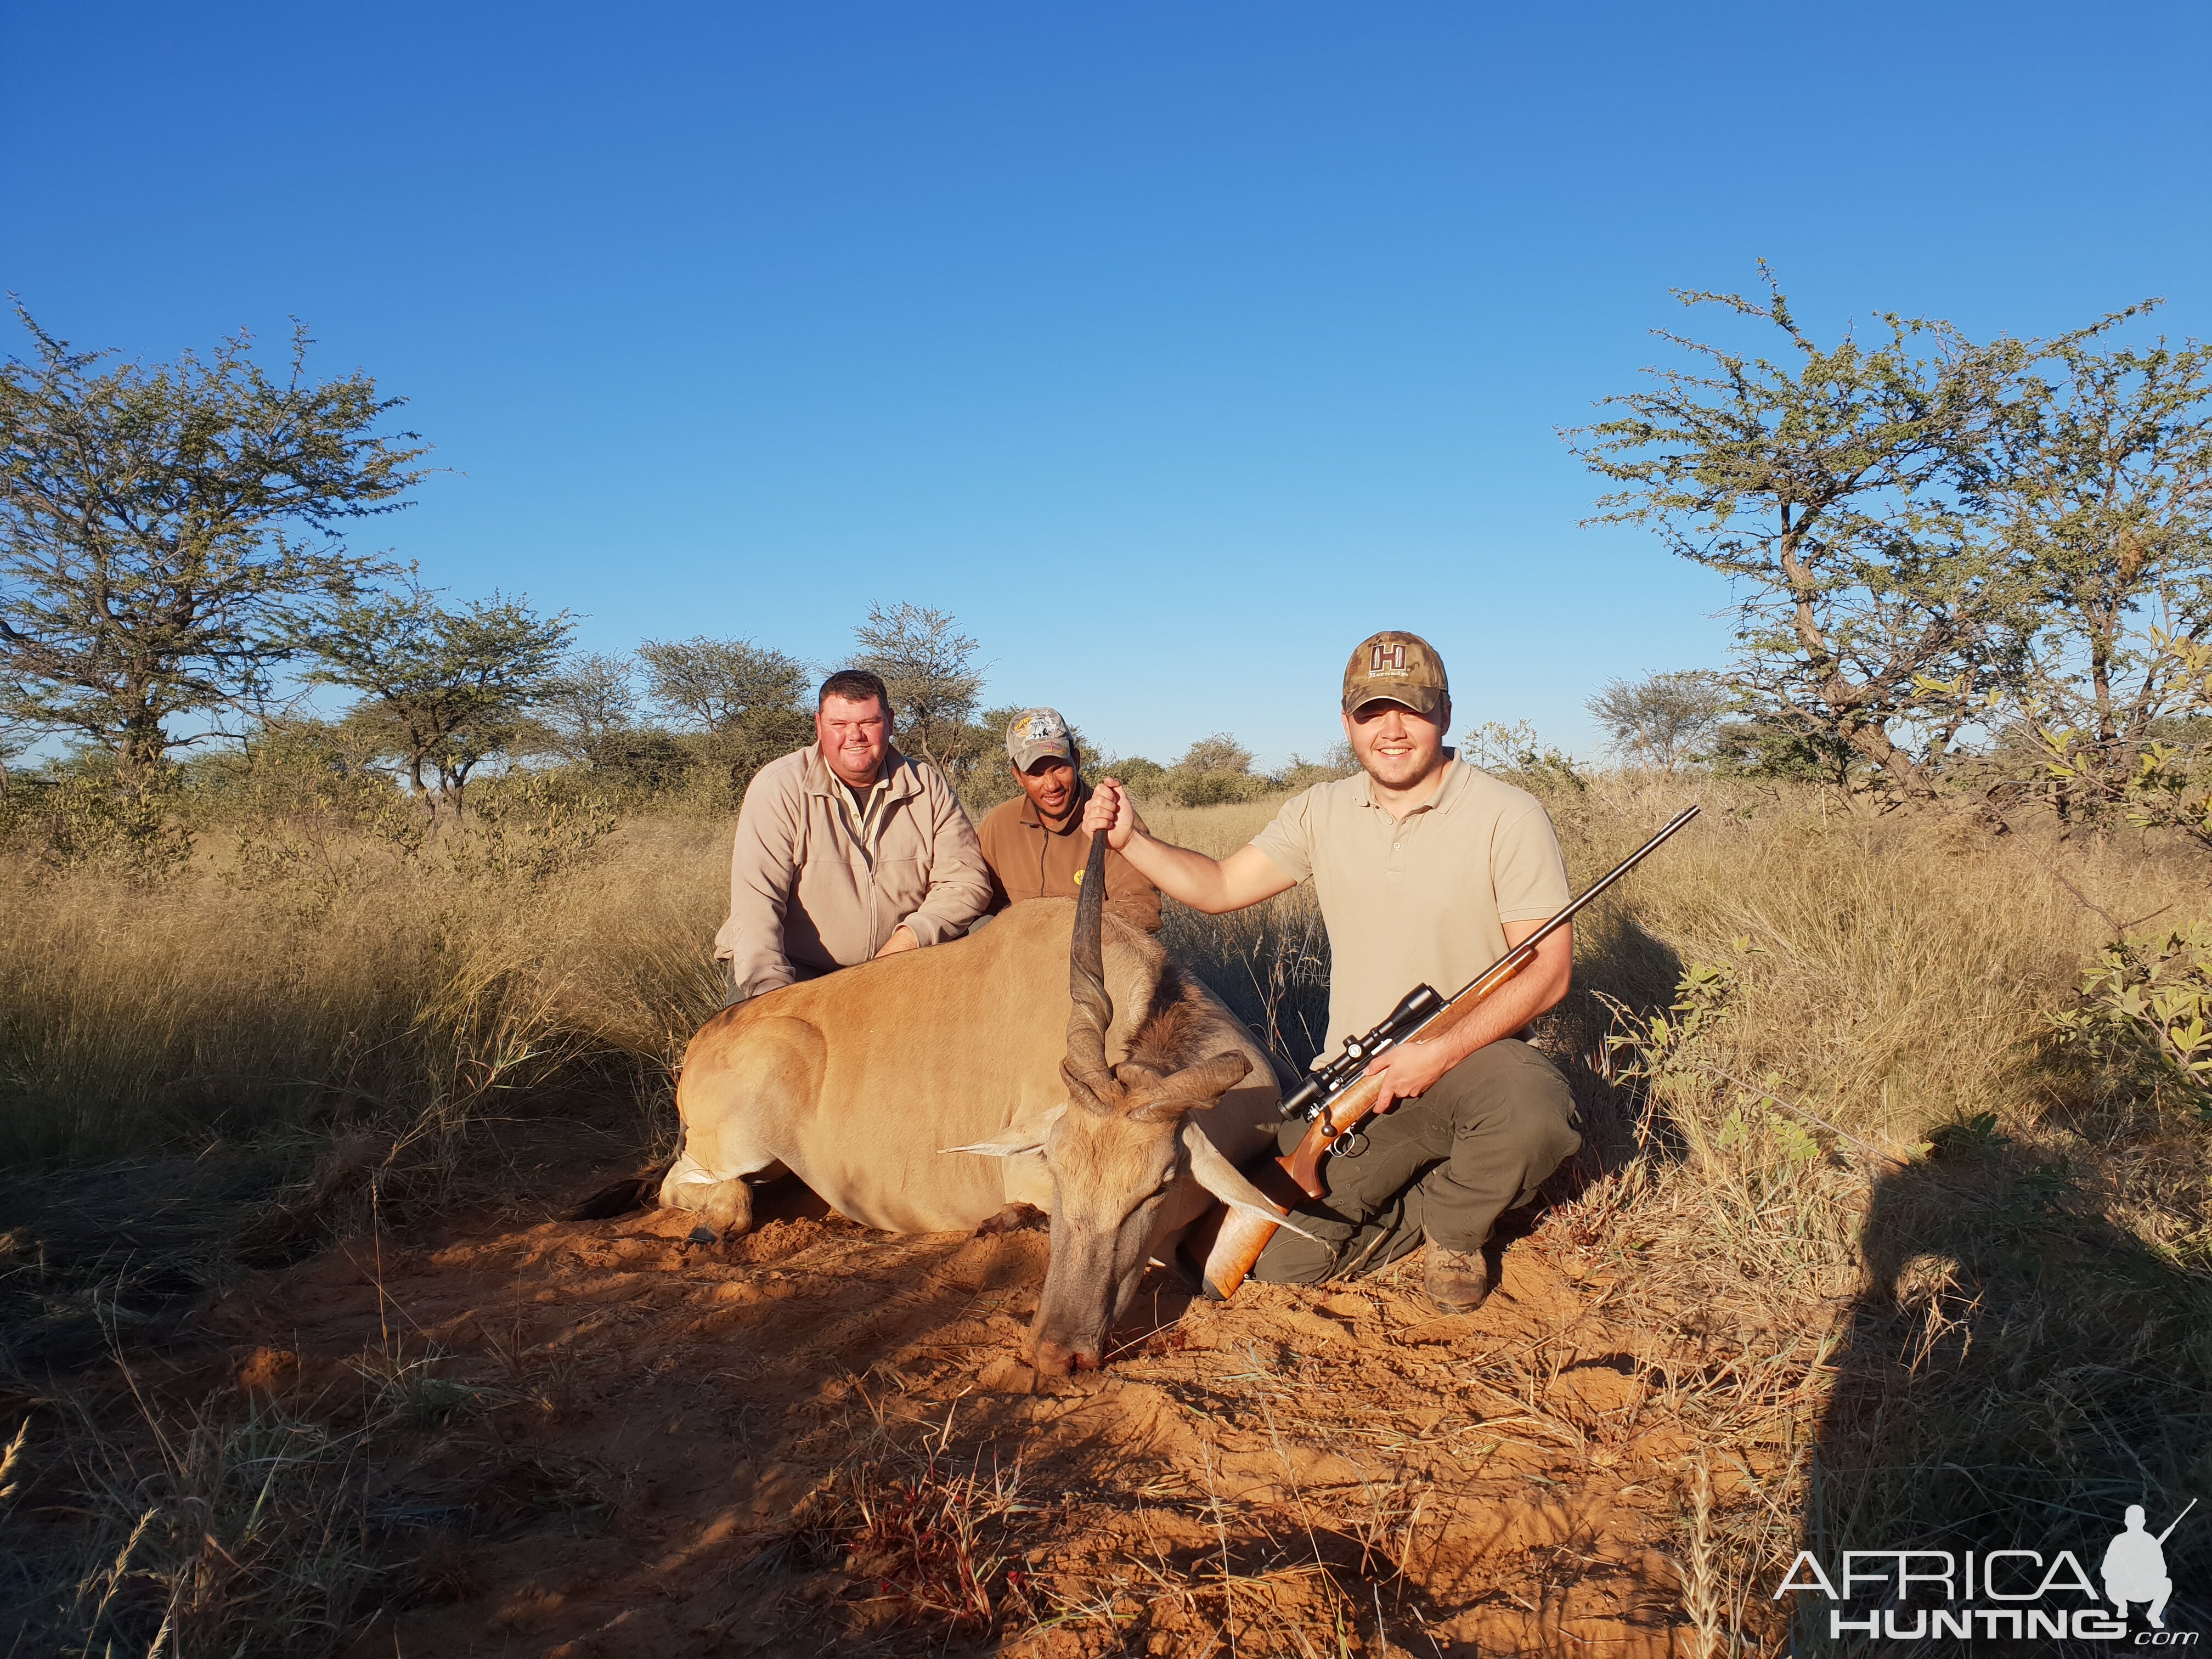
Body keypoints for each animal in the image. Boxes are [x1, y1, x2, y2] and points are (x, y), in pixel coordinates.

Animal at [659, 845, 1309, 1380]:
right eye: (1055, 1168)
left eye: (1161, 1186)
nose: (1056, 1354)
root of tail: (703, 1041)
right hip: (742, 1139)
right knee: (693, 1190)